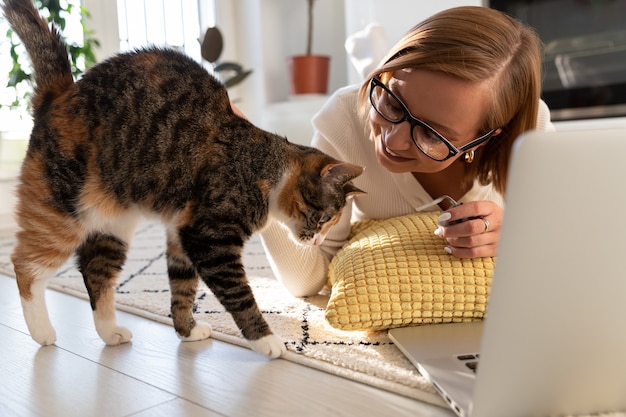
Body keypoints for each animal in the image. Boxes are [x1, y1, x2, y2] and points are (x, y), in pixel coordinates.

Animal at [2, 0, 364, 358]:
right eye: (324, 218)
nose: (317, 242)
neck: (264, 165)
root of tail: (62, 92)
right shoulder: (209, 237)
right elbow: (239, 294)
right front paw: (266, 340)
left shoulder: (181, 232)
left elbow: (182, 285)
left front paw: (186, 330)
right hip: (61, 210)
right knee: (24, 265)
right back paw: (42, 331)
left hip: (113, 223)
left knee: (96, 272)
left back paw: (110, 332)